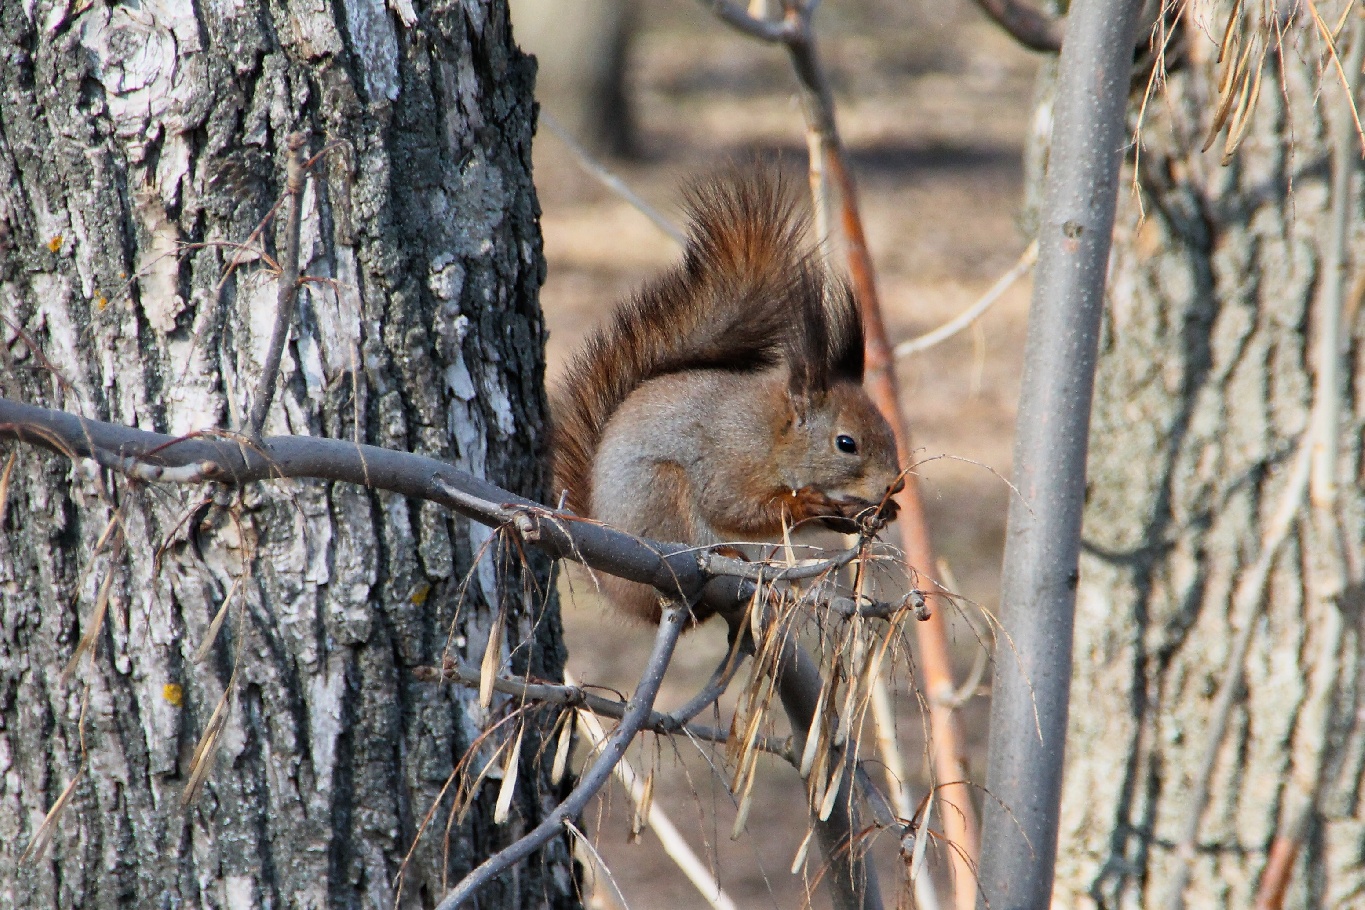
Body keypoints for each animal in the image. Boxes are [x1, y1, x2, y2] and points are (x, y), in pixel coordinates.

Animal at [550, 168, 902, 623]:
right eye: (846, 443)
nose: (895, 485)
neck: (772, 434)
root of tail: (617, 588)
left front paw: (864, 513)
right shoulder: (728, 463)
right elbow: (729, 506)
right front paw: (804, 504)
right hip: (662, 495)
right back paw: (725, 557)